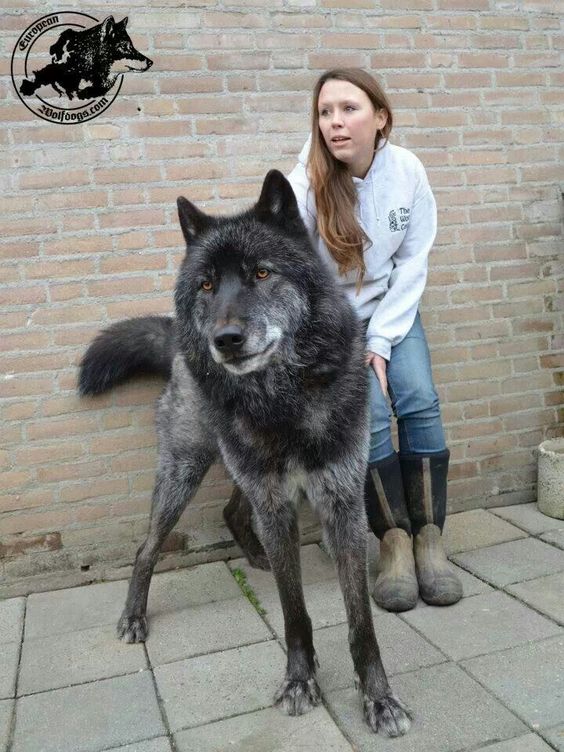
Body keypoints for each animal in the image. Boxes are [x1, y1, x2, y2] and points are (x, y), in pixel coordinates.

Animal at [79, 170, 411, 737]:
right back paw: (134, 616)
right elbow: (293, 610)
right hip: (185, 471)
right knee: (147, 548)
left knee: (233, 511)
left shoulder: (340, 502)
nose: (226, 340)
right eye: (207, 285)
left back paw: (254, 555)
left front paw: (379, 697)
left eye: (261, 273)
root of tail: (177, 341)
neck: (283, 400)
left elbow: (360, 621)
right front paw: (300, 679)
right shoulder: (276, 504)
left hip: (240, 471)